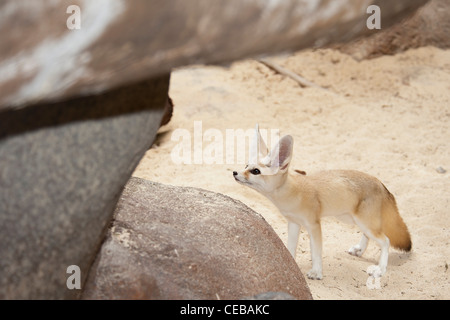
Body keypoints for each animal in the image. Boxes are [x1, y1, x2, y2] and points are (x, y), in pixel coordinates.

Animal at [234, 124, 414, 278]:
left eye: (255, 171)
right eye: (246, 165)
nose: (235, 172)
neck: (291, 192)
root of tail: (380, 183)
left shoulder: (314, 224)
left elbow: (316, 251)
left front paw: (316, 272)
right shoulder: (294, 223)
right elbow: (290, 247)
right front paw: (290, 263)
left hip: (363, 222)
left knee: (385, 241)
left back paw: (381, 269)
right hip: (353, 220)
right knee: (371, 235)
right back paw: (360, 249)